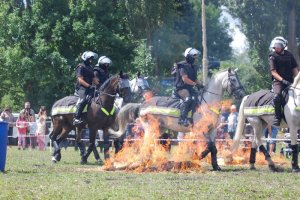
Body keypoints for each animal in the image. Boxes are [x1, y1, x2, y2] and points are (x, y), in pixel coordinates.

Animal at [109, 68, 245, 170]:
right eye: (233, 79)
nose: (241, 94)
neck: (207, 103)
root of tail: (142, 104)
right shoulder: (200, 130)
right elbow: (210, 146)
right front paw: (199, 156)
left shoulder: (212, 130)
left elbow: (214, 148)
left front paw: (216, 166)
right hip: (150, 128)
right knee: (146, 145)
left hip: (159, 129)